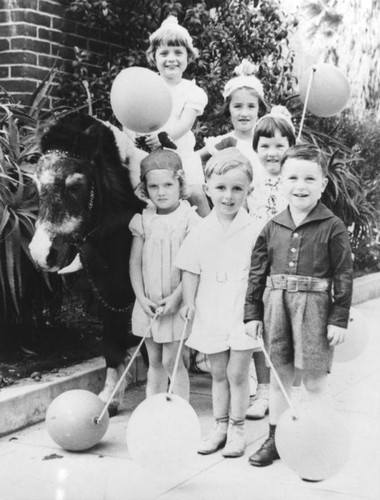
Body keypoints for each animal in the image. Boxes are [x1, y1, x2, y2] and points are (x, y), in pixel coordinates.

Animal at [29, 115, 147, 416]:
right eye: (37, 185)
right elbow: (112, 340)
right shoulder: (106, 289)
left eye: (75, 185)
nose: (41, 253)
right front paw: (109, 398)